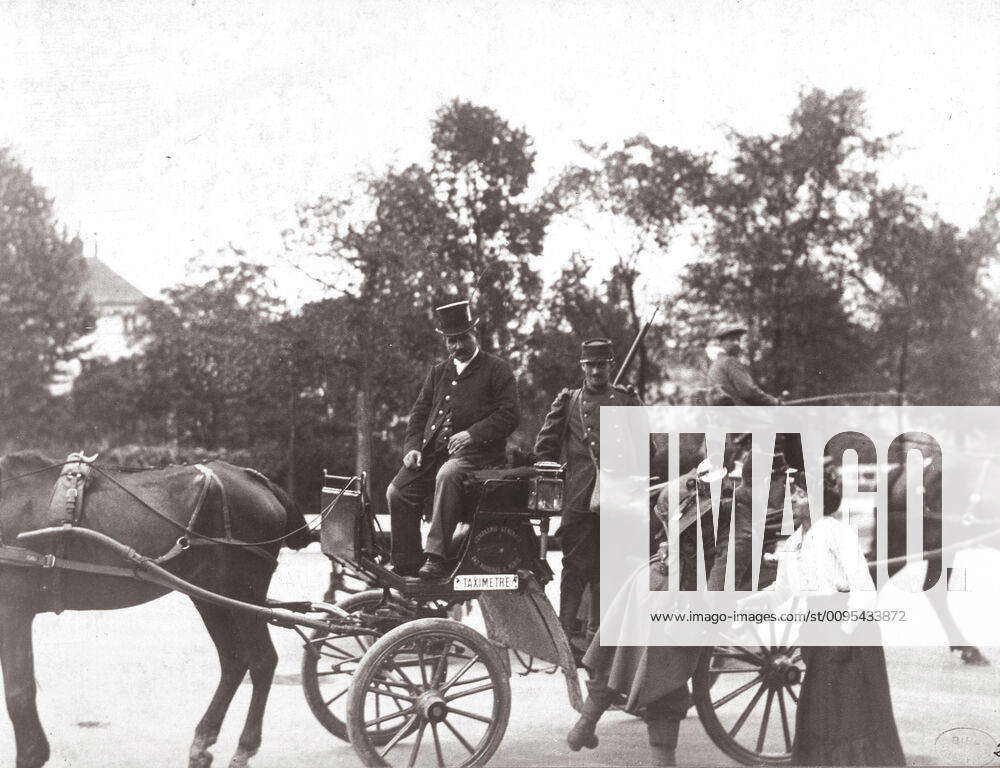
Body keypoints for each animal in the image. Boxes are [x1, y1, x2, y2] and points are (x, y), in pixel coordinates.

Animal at [0, 450, 312, 768]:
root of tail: (258, 480)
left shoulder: (12, 610)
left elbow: (18, 691)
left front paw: (31, 754)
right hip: (212, 597)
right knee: (234, 660)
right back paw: (202, 741)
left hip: (242, 594)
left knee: (263, 660)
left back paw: (244, 747)